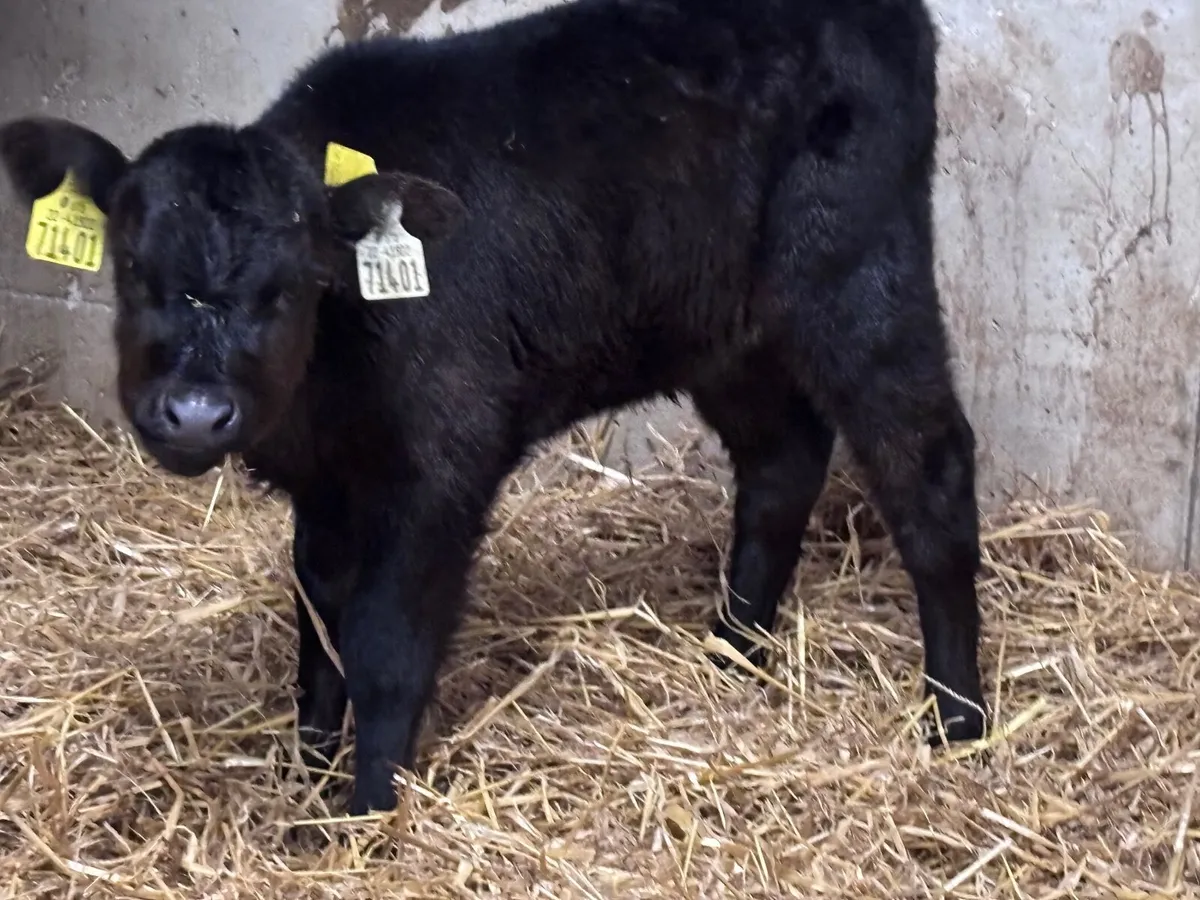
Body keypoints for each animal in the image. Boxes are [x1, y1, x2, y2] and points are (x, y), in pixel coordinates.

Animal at [0, 0, 987, 815]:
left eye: (292, 286)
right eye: (133, 267)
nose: (197, 413)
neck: (325, 394)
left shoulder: (443, 462)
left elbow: (385, 648)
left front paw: (364, 816)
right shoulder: (328, 486)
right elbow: (318, 634)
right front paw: (309, 775)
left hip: (859, 271)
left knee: (928, 468)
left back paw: (958, 717)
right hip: (721, 325)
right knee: (783, 462)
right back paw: (732, 654)